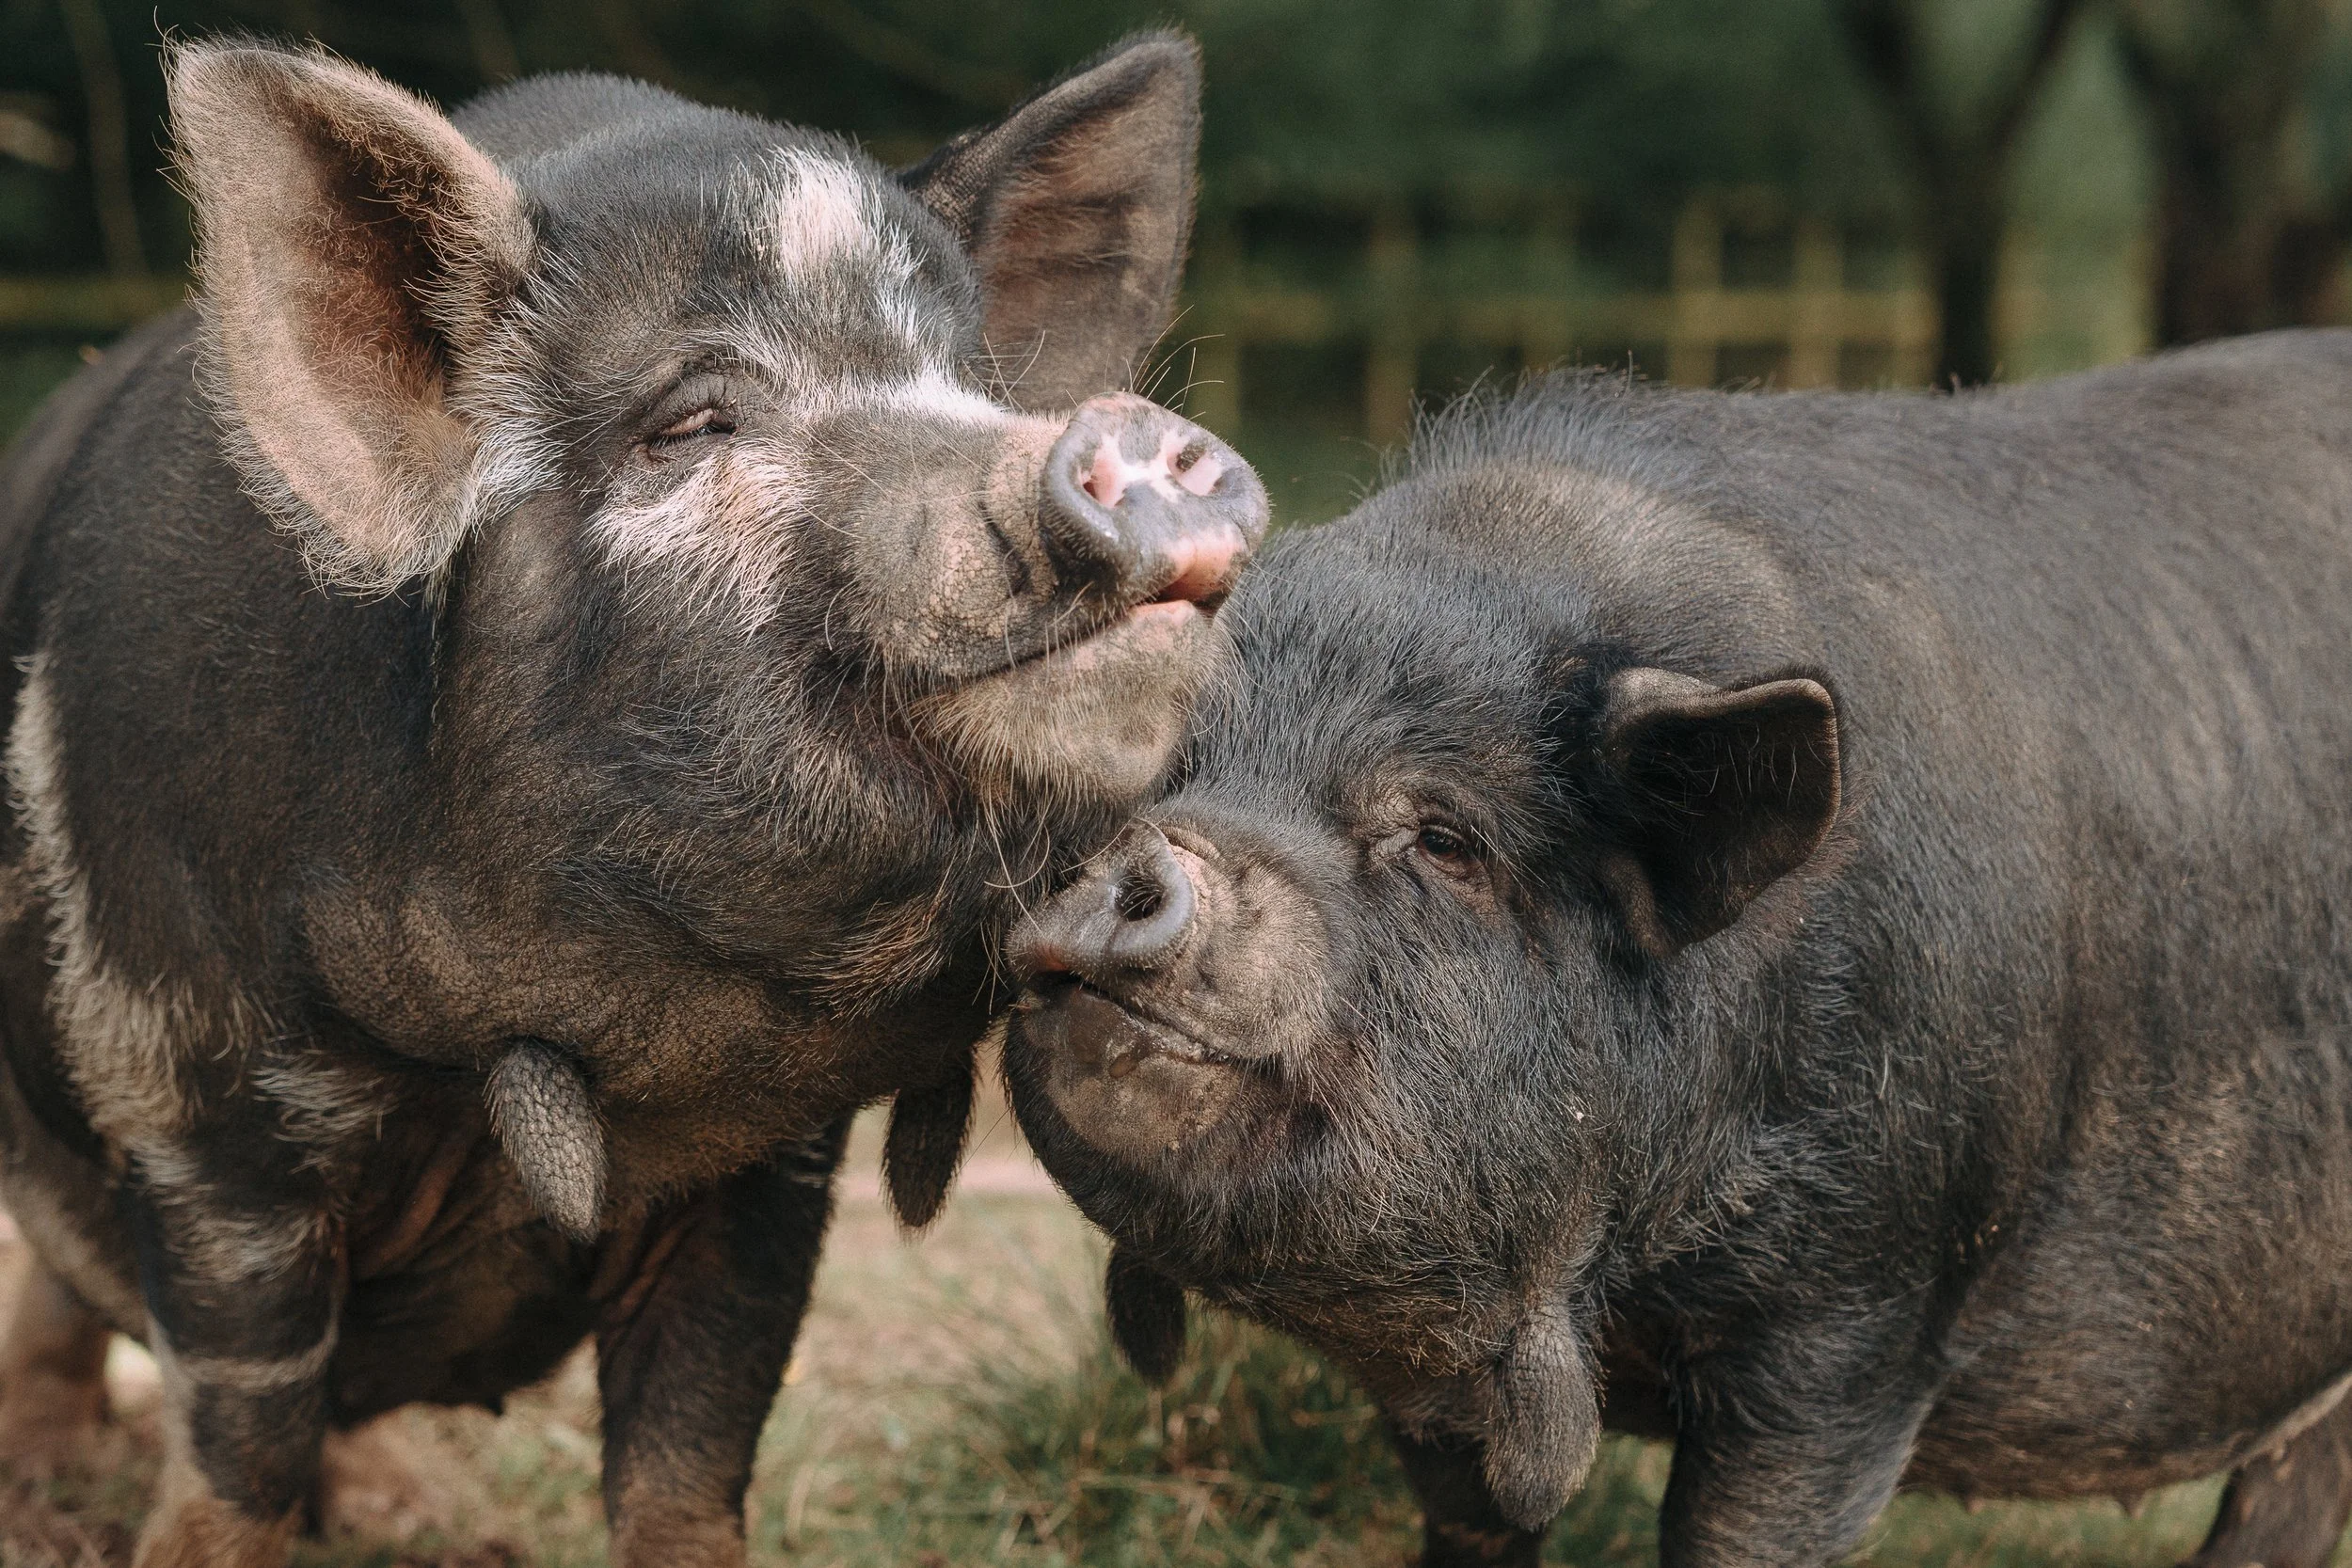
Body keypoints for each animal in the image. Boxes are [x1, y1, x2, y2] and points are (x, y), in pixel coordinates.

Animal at [0, 32, 1265, 1568]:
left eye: (977, 387)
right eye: (694, 419)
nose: (1128, 435)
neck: (503, 1058)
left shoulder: (774, 1165)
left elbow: (693, 1444)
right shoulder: (193, 1098)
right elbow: (237, 1441)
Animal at [1005, 333, 2352, 1568]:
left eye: (1443, 836)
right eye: (1165, 772)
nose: (1145, 864)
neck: (1613, 1297)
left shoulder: (1861, 1307)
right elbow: (1472, 1521)